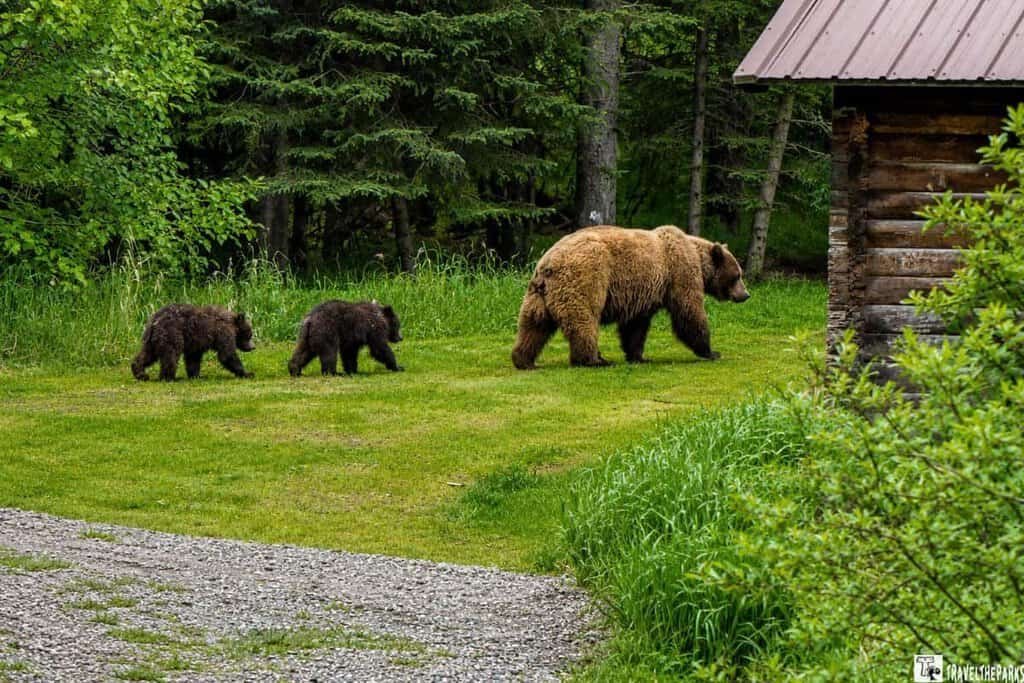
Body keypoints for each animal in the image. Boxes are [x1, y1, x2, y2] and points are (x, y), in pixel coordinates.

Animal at [511, 225, 749, 369]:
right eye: (737, 275)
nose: (745, 294)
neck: (698, 258)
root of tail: (548, 263)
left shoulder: (646, 292)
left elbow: (635, 326)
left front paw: (638, 356)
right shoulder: (679, 273)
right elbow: (689, 313)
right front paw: (712, 351)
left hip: (538, 293)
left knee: (533, 325)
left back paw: (523, 359)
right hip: (586, 278)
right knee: (584, 320)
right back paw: (594, 359)